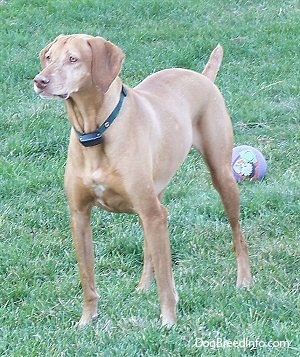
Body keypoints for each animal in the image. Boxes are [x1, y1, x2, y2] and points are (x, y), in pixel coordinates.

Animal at [34, 34, 252, 326]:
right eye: (48, 57)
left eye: (73, 59)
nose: (40, 80)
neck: (97, 130)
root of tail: (202, 77)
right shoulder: (79, 215)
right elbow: (87, 278)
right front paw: (87, 320)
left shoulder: (151, 213)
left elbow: (166, 279)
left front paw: (168, 321)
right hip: (153, 198)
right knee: (152, 244)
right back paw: (143, 287)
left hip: (222, 177)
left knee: (237, 233)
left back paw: (244, 280)